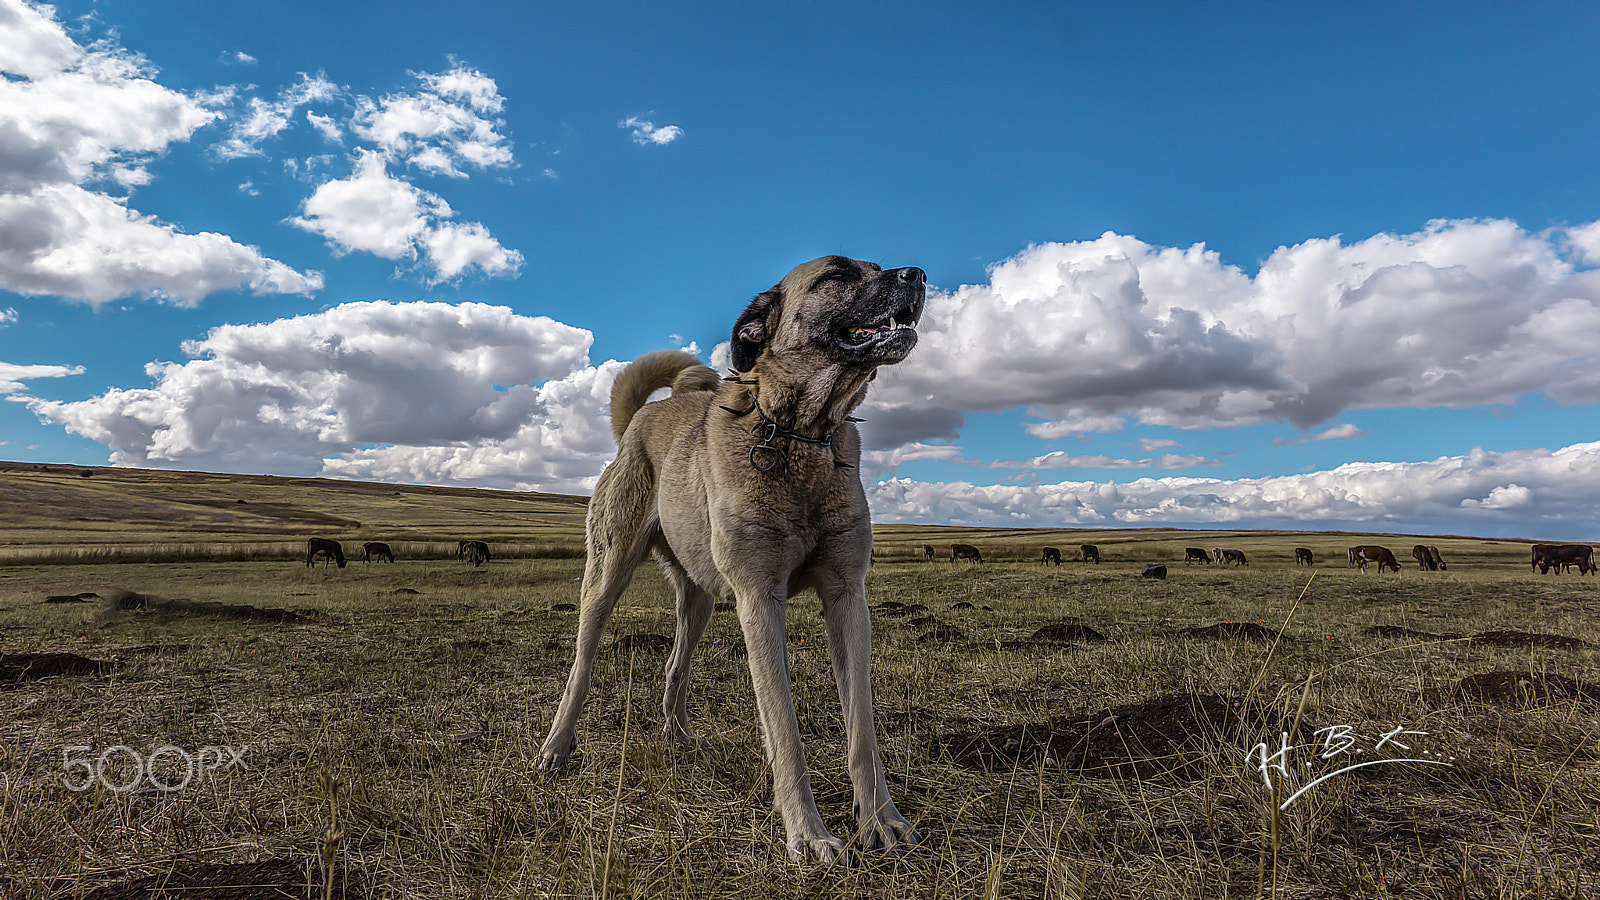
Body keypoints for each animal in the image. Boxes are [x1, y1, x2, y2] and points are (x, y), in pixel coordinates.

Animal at [534, 254, 928, 864]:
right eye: (837, 275)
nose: (918, 275)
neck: (796, 435)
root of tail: (640, 420)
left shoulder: (847, 596)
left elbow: (862, 729)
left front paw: (882, 821)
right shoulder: (759, 597)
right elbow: (784, 727)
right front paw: (807, 834)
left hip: (699, 597)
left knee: (675, 664)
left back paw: (677, 734)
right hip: (605, 575)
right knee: (581, 665)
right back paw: (557, 746)